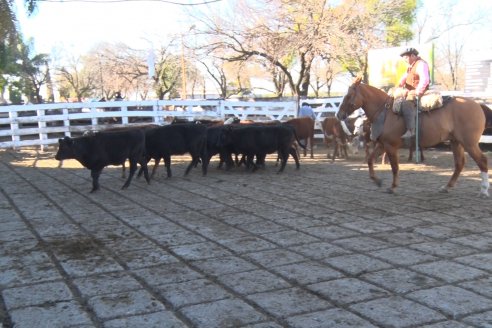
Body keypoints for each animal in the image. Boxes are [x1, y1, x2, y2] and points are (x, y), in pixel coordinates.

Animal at [336, 75, 490, 196]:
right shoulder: (382, 145)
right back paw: (447, 187)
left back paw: (483, 190)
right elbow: (370, 160)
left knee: (482, 161)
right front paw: (377, 181)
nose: (339, 115)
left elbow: (395, 167)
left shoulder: (390, 147)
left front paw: (393, 187)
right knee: (459, 164)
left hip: (469, 143)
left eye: (348, 96)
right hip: (456, 142)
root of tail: (478, 105)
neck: (386, 112)